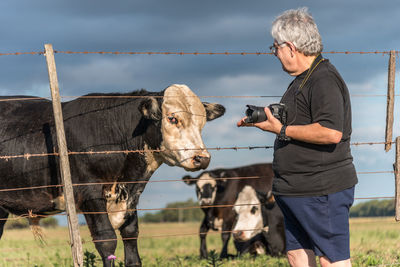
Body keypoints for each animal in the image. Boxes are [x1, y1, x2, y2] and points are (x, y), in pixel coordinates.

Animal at [0, 84, 225, 267]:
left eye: (202, 123)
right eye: (172, 118)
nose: (202, 158)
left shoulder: (131, 196)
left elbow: (131, 236)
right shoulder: (89, 193)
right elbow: (106, 240)